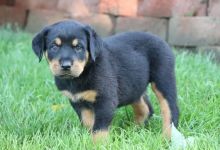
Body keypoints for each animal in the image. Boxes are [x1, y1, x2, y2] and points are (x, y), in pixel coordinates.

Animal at [32, 19, 179, 142]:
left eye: (79, 47)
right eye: (54, 46)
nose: (66, 65)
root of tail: (162, 40)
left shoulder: (106, 100)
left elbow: (100, 128)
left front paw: (98, 144)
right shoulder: (78, 102)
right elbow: (88, 123)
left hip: (163, 79)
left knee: (170, 109)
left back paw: (168, 137)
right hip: (133, 85)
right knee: (145, 108)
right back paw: (135, 130)